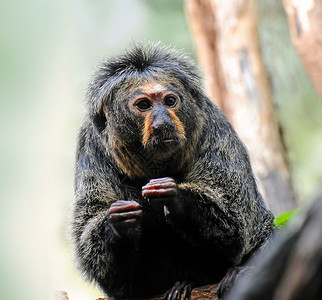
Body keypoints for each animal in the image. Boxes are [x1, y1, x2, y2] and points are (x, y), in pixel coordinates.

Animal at [70, 42, 274, 300]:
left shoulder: (214, 128)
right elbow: (103, 268)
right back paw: (181, 285)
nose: (163, 123)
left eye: (169, 101)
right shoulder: (91, 148)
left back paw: (232, 276)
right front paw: (119, 222)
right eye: (144, 105)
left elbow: (235, 229)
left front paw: (172, 195)